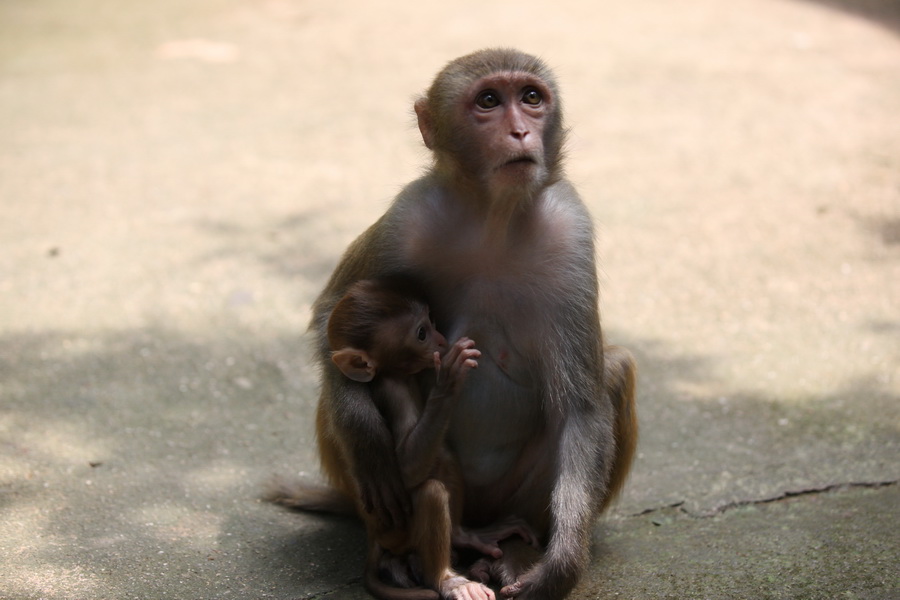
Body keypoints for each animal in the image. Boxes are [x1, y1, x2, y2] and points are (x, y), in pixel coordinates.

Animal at [270, 277, 539, 600]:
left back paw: (464, 536)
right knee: (431, 493)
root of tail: (373, 534)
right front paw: (447, 383)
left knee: (443, 455)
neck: (397, 374)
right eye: (421, 333)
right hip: (397, 534)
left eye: (431, 320)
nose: (441, 340)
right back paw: (445, 579)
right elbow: (405, 469)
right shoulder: (393, 392)